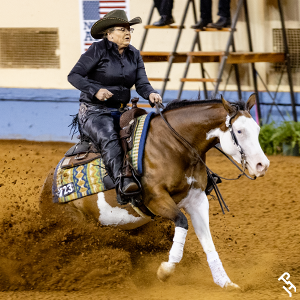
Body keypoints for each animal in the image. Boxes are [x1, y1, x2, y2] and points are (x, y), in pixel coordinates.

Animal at [39, 95, 270, 290]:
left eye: (257, 129)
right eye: (239, 131)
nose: (262, 165)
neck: (173, 145)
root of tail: (48, 186)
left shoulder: (197, 200)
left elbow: (208, 242)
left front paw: (225, 282)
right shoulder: (156, 199)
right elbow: (182, 222)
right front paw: (165, 271)